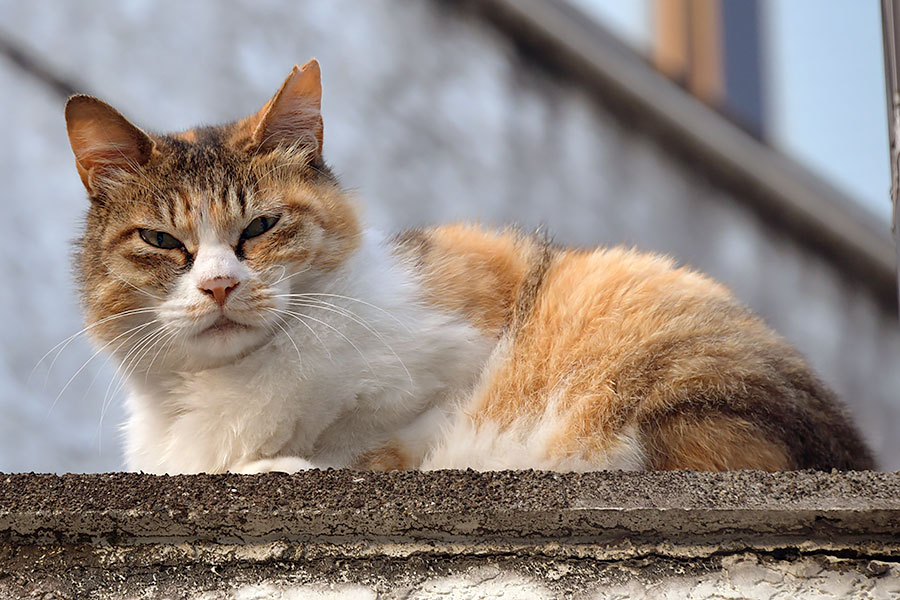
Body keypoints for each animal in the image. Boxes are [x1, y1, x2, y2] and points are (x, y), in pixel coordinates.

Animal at [61, 59, 872, 474]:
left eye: (260, 226)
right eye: (162, 242)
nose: (221, 284)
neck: (229, 387)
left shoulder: (456, 357)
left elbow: (383, 451)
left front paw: (281, 465)